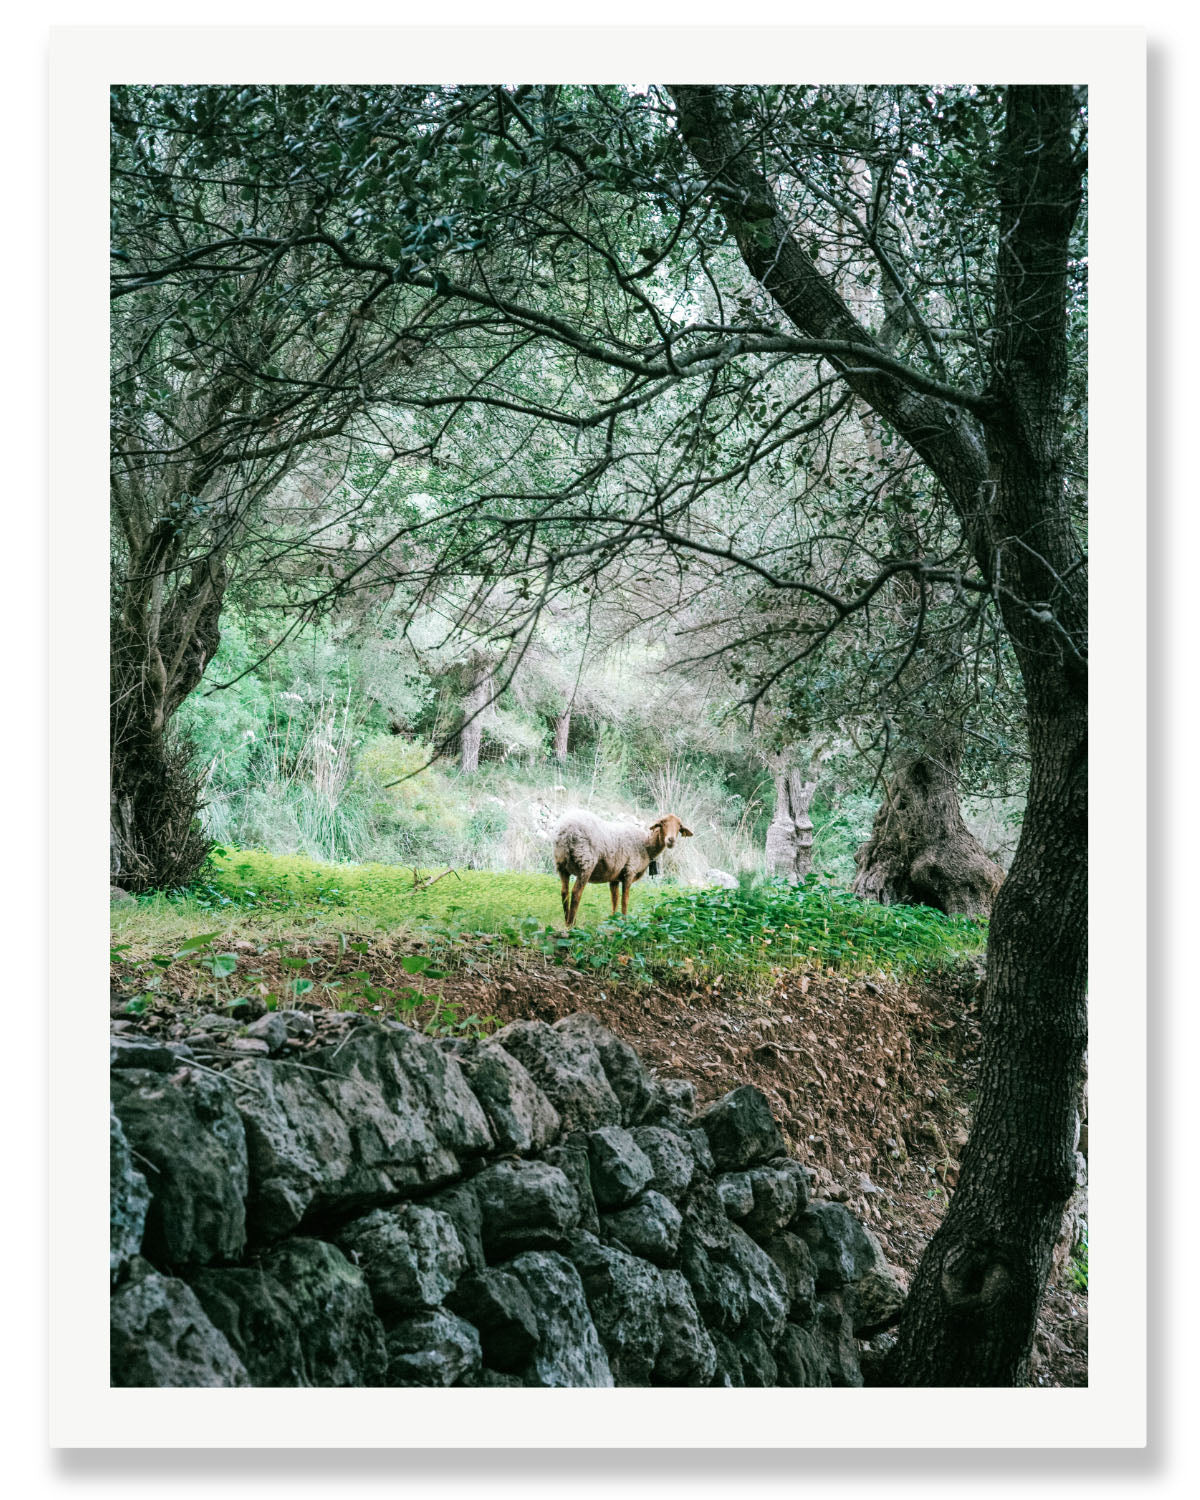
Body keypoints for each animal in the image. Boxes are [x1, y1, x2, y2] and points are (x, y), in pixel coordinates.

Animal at [553, 809, 693, 928]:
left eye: (679, 827)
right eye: (662, 823)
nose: (671, 840)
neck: (646, 845)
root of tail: (565, 830)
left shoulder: (614, 877)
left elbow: (614, 899)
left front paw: (613, 921)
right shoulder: (629, 871)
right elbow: (625, 900)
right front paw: (624, 923)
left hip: (561, 864)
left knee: (564, 892)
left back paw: (567, 921)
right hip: (585, 862)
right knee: (576, 893)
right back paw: (572, 924)